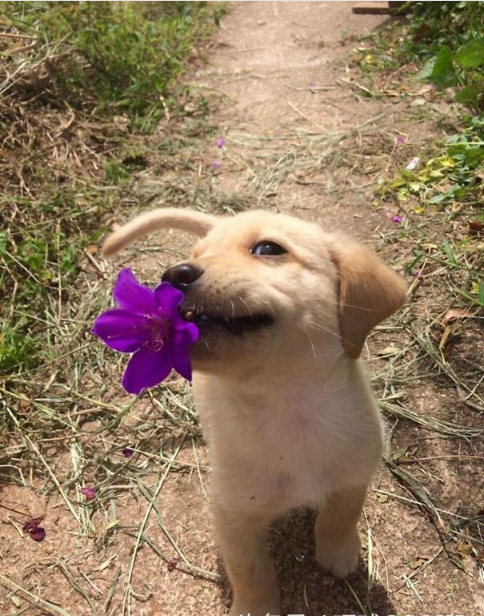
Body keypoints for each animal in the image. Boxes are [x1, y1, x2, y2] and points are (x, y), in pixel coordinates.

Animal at [103, 208, 408, 616]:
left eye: (267, 248)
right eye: (194, 254)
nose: (174, 274)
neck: (288, 407)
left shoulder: (355, 474)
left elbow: (341, 516)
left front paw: (338, 551)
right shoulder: (234, 516)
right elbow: (250, 571)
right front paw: (254, 606)